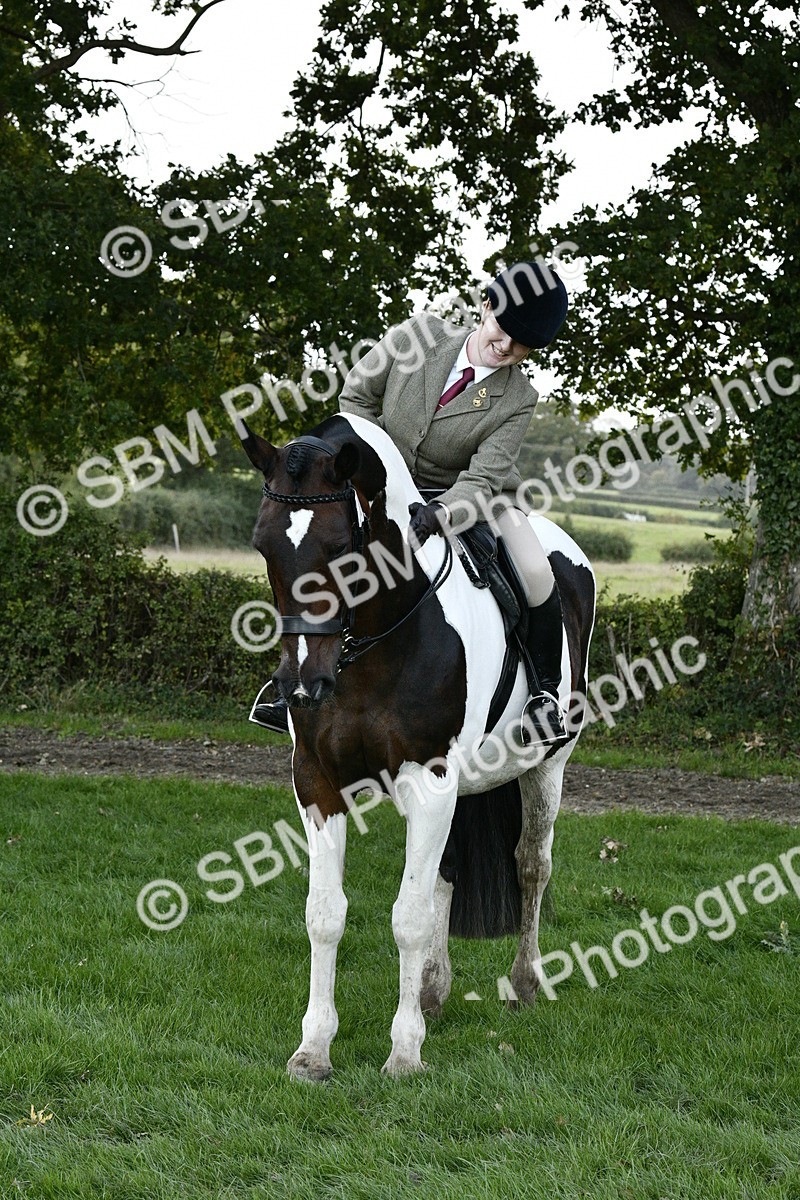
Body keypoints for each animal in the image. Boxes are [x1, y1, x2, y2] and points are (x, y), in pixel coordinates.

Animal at [241, 411, 596, 1079]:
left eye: (340, 550)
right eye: (263, 544)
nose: (301, 686)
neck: (374, 641)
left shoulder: (429, 780)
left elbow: (407, 917)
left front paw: (404, 1053)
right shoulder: (317, 781)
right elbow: (325, 914)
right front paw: (313, 1050)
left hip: (547, 765)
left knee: (532, 866)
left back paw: (524, 984)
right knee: (448, 876)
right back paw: (431, 991)